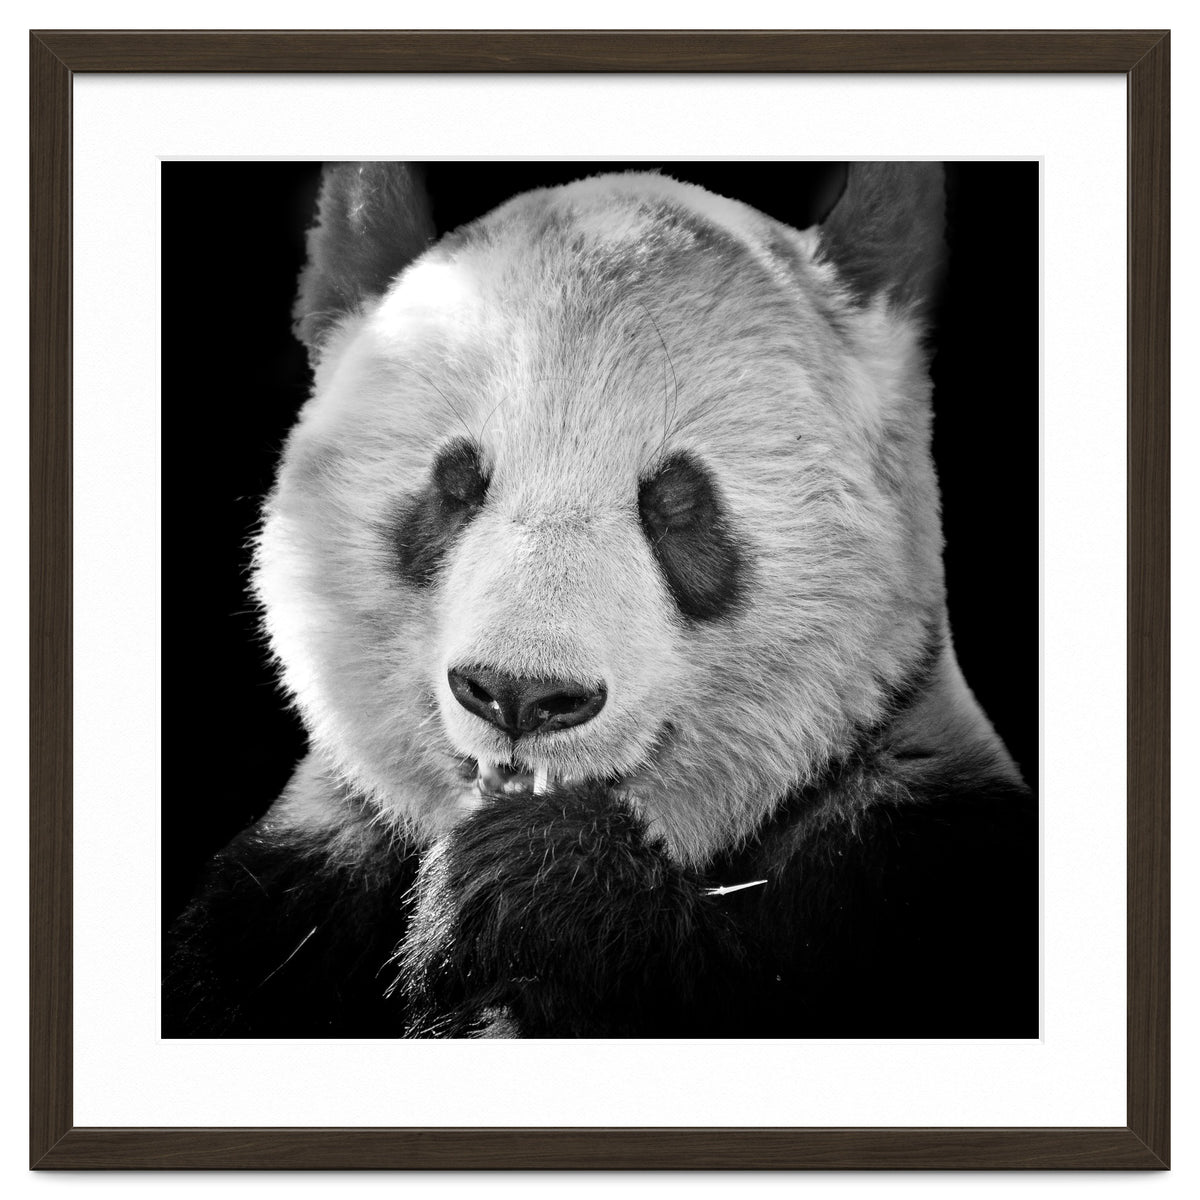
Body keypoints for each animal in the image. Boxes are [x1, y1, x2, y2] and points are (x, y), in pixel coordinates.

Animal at [164, 162, 1037, 1039]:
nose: (520, 694)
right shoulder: (290, 892)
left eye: (677, 504)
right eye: (455, 485)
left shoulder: (912, 857)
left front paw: (536, 885)